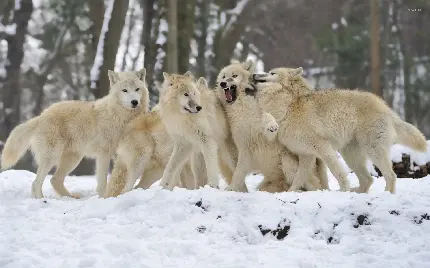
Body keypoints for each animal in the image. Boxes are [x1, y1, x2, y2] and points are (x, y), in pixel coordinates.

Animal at [1, 69, 149, 199]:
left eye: (137, 89)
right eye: (125, 90)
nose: (134, 102)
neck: (121, 117)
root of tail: (41, 116)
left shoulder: (124, 155)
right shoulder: (104, 154)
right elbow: (102, 182)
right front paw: (103, 198)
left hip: (73, 159)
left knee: (54, 179)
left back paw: (70, 197)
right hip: (52, 157)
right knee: (36, 182)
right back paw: (41, 200)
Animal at [252, 66, 426, 193]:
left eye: (271, 73)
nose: (254, 74)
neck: (289, 106)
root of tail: (386, 107)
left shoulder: (323, 148)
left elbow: (337, 172)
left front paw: (343, 189)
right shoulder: (306, 154)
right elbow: (298, 178)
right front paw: (290, 193)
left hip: (372, 150)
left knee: (391, 175)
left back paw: (385, 194)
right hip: (351, 156)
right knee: (368, 179)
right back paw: (356, 193)